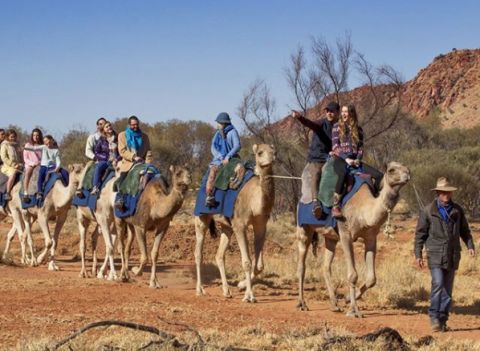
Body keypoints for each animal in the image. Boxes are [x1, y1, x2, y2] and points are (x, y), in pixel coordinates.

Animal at [194, 144, 276, 304]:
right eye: (260, 153)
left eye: (273, 151)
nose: (272, 158)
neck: (255, 200)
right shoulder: (240, 225)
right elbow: (247, 262)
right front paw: (249, 296)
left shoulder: (261, 225)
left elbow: (259, 266)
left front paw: (241, 285)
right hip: (201, 218)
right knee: (198, 252)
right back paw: (200, 290)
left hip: (227, 227)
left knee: (219, 255)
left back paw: (227, 291)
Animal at [296, 161, 408, 318]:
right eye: (392, 170)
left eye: (406, 168)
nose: (407, 175)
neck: (364, 210)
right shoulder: (345, 234)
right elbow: (353, 275)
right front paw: (353, 311)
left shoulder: (371, 237)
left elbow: (372, 278)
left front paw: (348, 298)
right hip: (304, 228)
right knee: (301, 265)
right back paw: (302, 304)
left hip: (330, 237)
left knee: (326, 266)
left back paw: (334, 305)